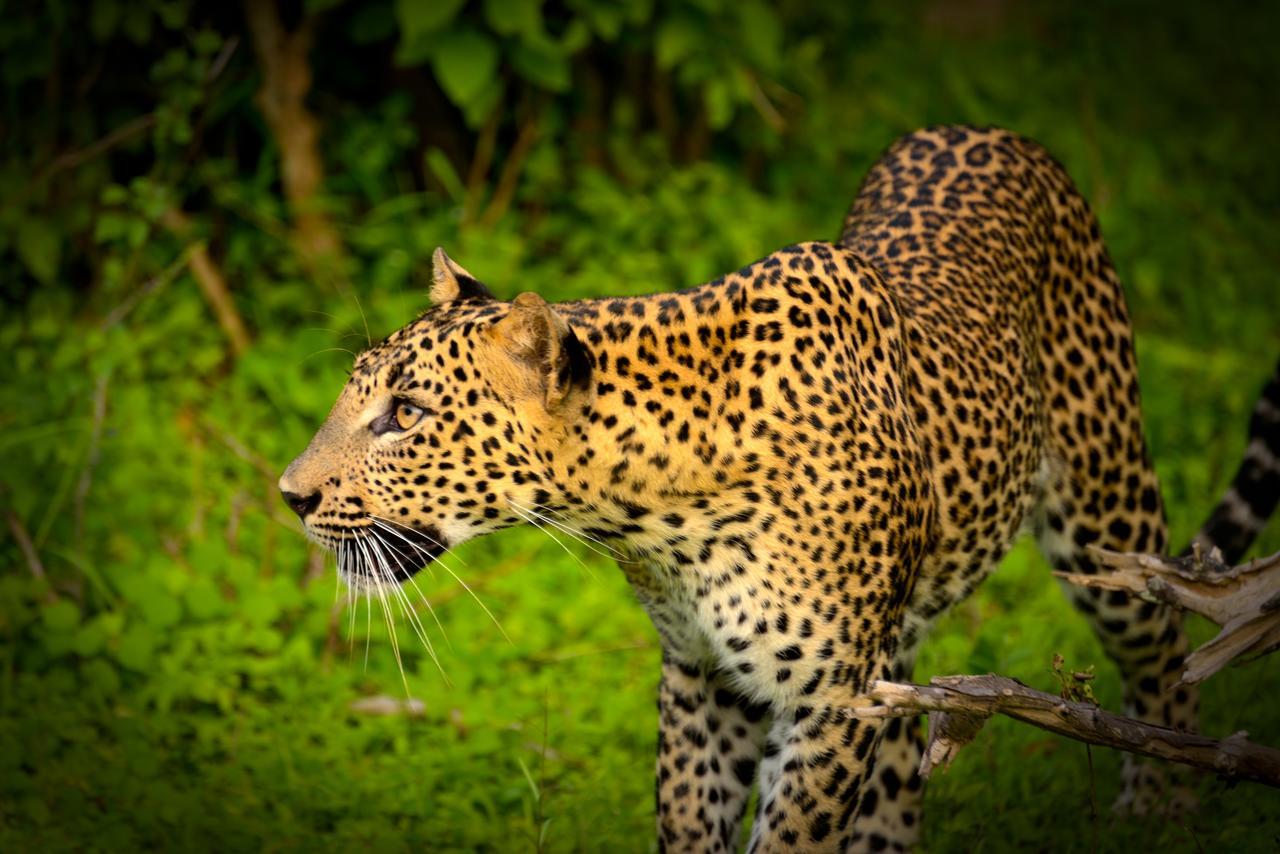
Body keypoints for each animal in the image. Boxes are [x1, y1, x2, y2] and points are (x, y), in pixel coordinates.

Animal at [280, 123, 1280, 850]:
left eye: (406, 414)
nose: (290, 496)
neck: (654, 516)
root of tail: (989, 129)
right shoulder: (702, 674)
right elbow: (691, 820)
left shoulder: (831, 700)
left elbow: (791, 838)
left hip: (1103, 509)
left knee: (1165, 657)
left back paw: (1161, 813)